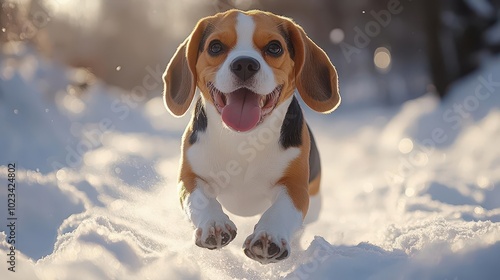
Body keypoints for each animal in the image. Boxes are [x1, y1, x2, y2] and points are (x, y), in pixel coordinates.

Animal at [163, 8, 340, 262]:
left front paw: (268, 237)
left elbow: (282, 209)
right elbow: (199, 199)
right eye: (215, 47)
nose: (245, 64)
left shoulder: (295, 185)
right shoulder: (189, 177)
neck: (243, 139)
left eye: (274, 48)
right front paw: (214, 225)